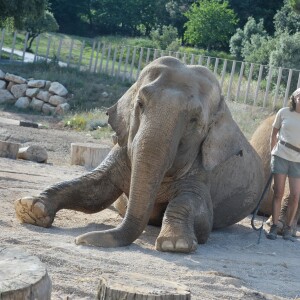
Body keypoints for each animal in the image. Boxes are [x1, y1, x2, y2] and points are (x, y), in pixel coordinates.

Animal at [14, 56, 264, 253]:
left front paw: (175, 244)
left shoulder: (203, 166)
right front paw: (30, 209)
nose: (81, 241)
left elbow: (200, 213)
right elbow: (94, 190)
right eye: (140, 104)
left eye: (194, 120)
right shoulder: (122, 149)